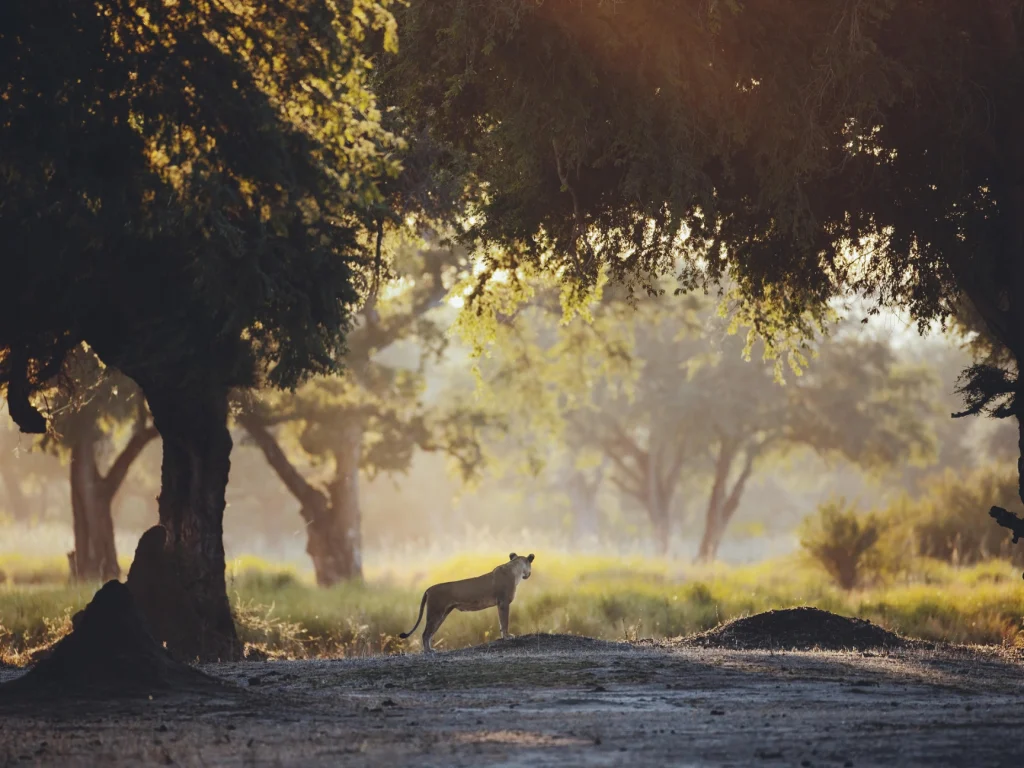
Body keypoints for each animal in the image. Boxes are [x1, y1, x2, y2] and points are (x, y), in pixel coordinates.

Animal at [399, 553, 535, 652]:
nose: (528, 574)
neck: (515, 567)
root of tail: (428, 589)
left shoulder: (500, 604)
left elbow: (501, 622)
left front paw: (504, 636)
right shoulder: (503, 602)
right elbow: (504, 621)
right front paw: (507, 637)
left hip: (442, 614)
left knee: (430, 633)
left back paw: (430, 649)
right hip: (435, 612)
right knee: (425, 633)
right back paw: (428, 651)